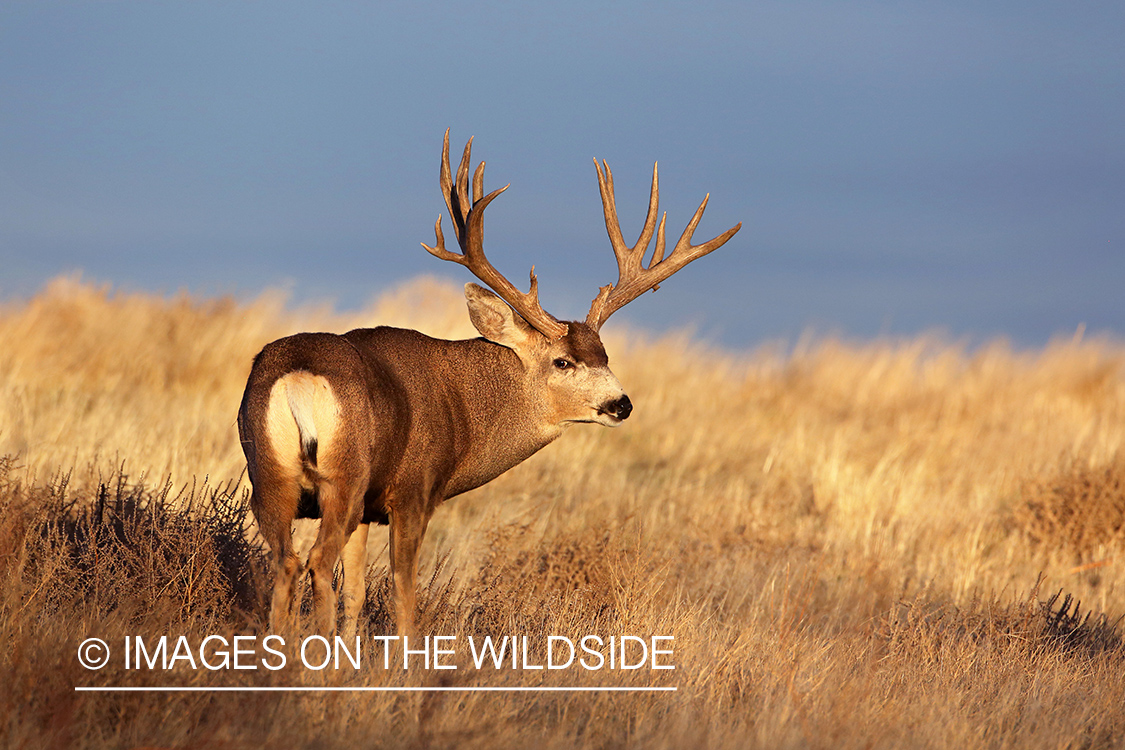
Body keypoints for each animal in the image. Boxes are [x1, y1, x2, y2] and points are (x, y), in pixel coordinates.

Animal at [237, 130, 740, 638]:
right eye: (563, 362)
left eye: (605, 355)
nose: (622, 404)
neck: (462, 409)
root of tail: (298, 374)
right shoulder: (414, 489)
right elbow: (402, 594)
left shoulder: (369, 507)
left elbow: (356, 593)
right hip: (343, 476)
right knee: (317, 562)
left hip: (271, 476)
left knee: (286, 562)